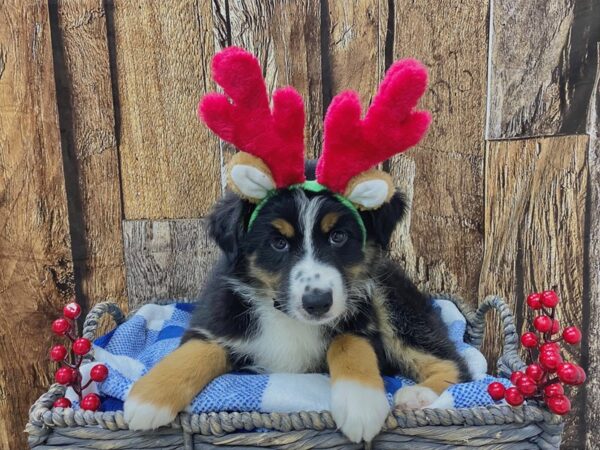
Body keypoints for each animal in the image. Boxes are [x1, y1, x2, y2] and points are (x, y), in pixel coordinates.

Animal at [124, 160, 472, 442]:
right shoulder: (217, 319)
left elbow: (348, 343)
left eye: (338, 237)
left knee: (456, 363)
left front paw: (360, 403)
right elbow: (197, 351)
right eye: (278, 243)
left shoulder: (363, 322)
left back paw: (417, 395)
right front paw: (147, 398)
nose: (317, 302)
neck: (286, 317)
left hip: (393, 301)